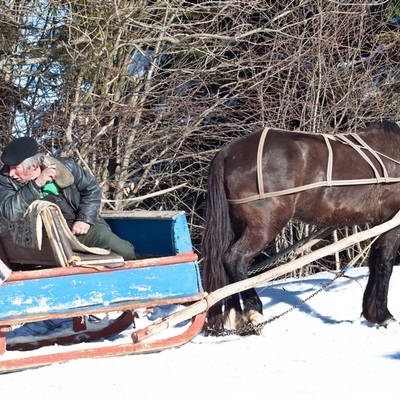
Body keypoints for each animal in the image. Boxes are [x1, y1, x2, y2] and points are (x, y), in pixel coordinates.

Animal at [202, 120, 400, 332]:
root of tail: (227, 152)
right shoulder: (391, 220)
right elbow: (384, 263)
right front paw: (383, 316)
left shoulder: (380, 220)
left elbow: (376, 260)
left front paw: (374, 313)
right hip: (265, 224)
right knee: (234, 259)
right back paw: (254, 312)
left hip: (239, 225)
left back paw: (235, 315)